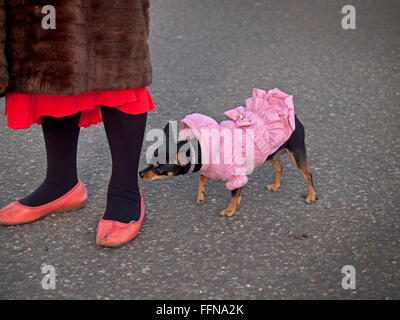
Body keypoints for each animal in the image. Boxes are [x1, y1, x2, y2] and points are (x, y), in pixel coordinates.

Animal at [139, 89, 318, 216]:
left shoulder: (236, 175)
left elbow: (233, 194)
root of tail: (294, 116)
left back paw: (311, 196)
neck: (202, 148)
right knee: (279, 168)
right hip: (272, 152)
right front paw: (201, 195)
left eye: (158, 169)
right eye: (149, 161)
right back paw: (275, 186)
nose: (140, 173)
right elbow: (201, 179)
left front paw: (230, 210)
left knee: (307, 174)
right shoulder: (211, 169)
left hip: (297, 153)